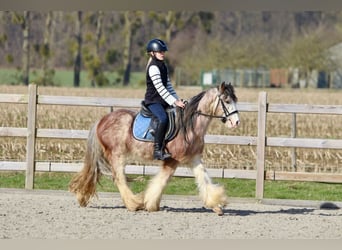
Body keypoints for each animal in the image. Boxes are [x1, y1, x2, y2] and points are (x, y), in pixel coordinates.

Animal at [69, 81, 240, 215]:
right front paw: (150, 204)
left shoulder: (194, 158)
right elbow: (161, 181)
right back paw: (134, 204)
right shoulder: (172, 159)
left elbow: (203, 179)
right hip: (117, 154)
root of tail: (101, 120)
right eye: (226, 100)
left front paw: (217, 206)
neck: (189, 126)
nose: (236, 122)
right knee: (119, 178)